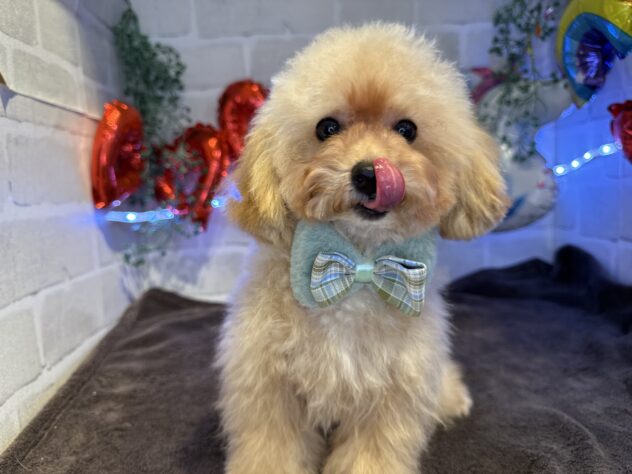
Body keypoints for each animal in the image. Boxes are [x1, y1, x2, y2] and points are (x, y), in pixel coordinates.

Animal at [216, 23, 507, 474]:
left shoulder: (394, 394)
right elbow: (272, 448)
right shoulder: (268, 386)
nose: (369, 174)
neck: (360, 264)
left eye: (407, 129)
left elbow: (373, 453)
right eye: (327, 128)